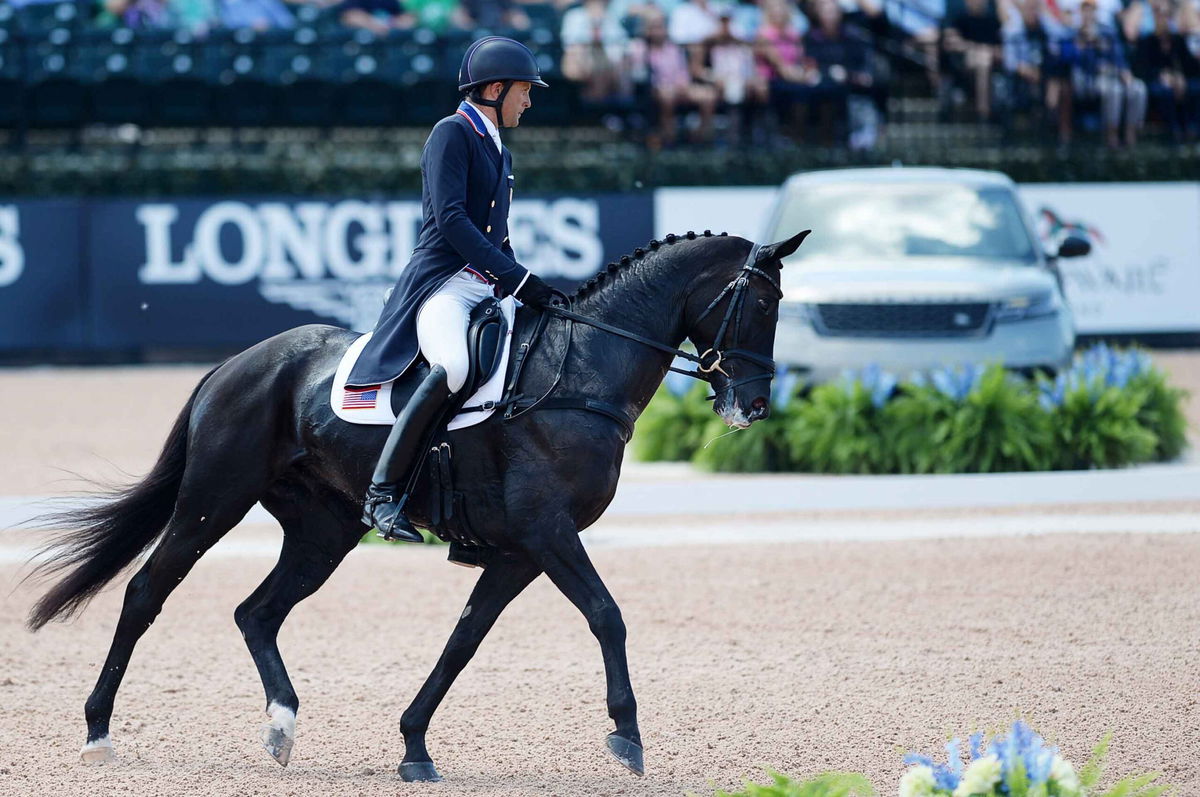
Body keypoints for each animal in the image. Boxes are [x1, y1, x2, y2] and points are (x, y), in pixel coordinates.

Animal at [25, 226, 806, 782]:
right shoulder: (548, 532)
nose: (753, 407)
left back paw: (281, 726)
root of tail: (237, 363)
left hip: (323, 531)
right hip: (213, 501)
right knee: (146, 591)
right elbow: (606, 615)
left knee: (258, 612)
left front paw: (414, 746)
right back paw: (98, 733)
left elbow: (464, 641)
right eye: (763, 303)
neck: (582, 372)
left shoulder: (519, 551)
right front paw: (627, 735)